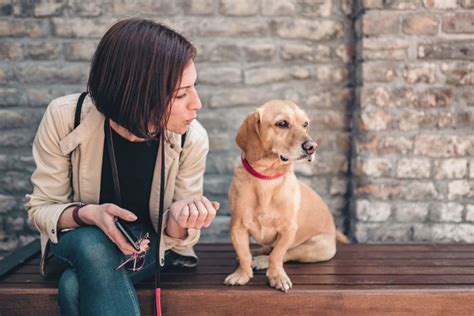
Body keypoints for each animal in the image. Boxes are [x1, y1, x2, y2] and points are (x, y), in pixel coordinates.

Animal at [222, 100, 348, 292]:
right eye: (282, 123)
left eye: (305, 124)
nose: (312, 147)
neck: (267, 177)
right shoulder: (237, 227)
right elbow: (243, 254)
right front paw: (242, 274)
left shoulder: (288, 230)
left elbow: (278, 255)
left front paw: (277, 277)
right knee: (265, 249)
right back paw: (256, 253)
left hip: (314, 248)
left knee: (286, 253)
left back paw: (261, 260)